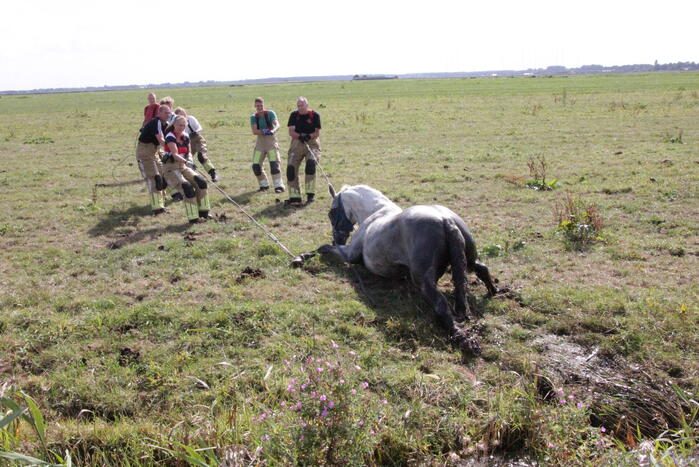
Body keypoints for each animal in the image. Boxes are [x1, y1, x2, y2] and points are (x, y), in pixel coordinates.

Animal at [317, 184, 499, 352]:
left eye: (332, 212)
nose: (336, 238)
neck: (376, 214)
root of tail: (446, 220)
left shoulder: (350, 254)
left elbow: (330, 249)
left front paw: (320, 250)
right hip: (470, 260)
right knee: (482, 269)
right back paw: (494, 291)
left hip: (424, 281)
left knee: (441, 305)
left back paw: (462, 338)